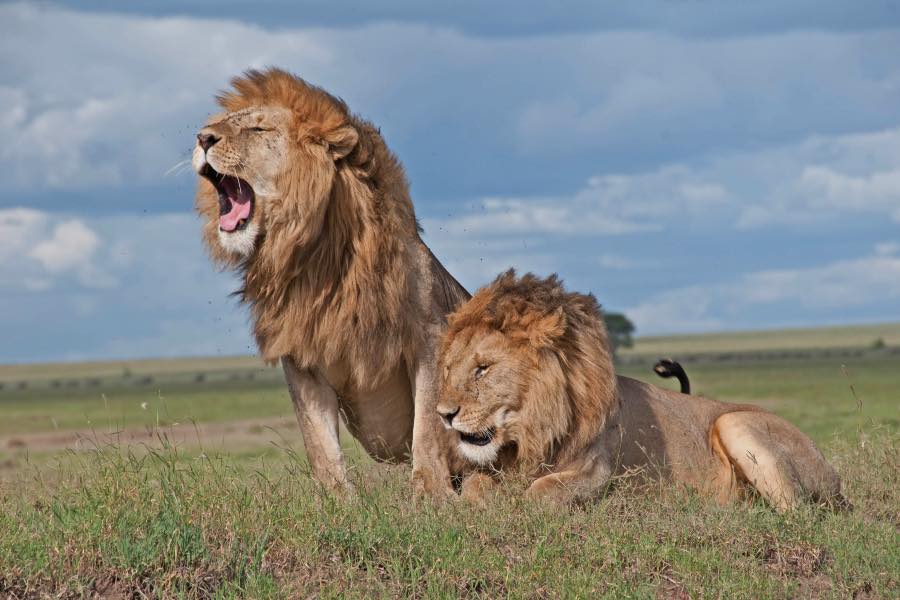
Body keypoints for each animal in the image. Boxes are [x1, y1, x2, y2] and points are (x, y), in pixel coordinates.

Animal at [193, 68, 469, 497]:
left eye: (257, 128)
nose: (202, 138)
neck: (316, 260)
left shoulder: (429, 337)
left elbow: (427, 427)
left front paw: (430, 496)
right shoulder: (301, 355)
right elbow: (319, 442)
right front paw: (337, 500)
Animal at [436, 270, 846, 510]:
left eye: (483, 368)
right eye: (449, 368)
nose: (443, 415)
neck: (531, 431)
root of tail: (833, 476)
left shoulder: (597, 471)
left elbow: (541, 492)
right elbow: (475, 485)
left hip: (735, 422)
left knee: (797, 512)